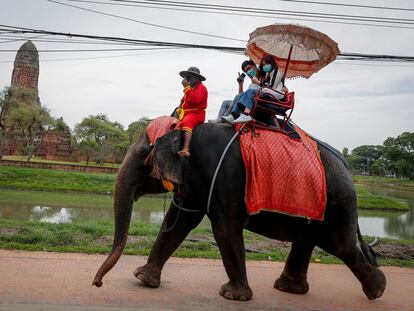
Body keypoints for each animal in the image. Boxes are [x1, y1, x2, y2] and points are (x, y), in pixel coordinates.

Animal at [92, 122, 386, 302]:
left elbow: (224, 228)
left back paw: (378, 289)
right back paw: (290, 289)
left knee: (340, 246)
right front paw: (143, 278)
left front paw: (233, 297)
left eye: (144, 156)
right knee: (307, 239)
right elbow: (179, 222)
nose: (96, 284)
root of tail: (345, 163)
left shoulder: (226, 178)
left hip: (338, 202)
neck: (189, 129)